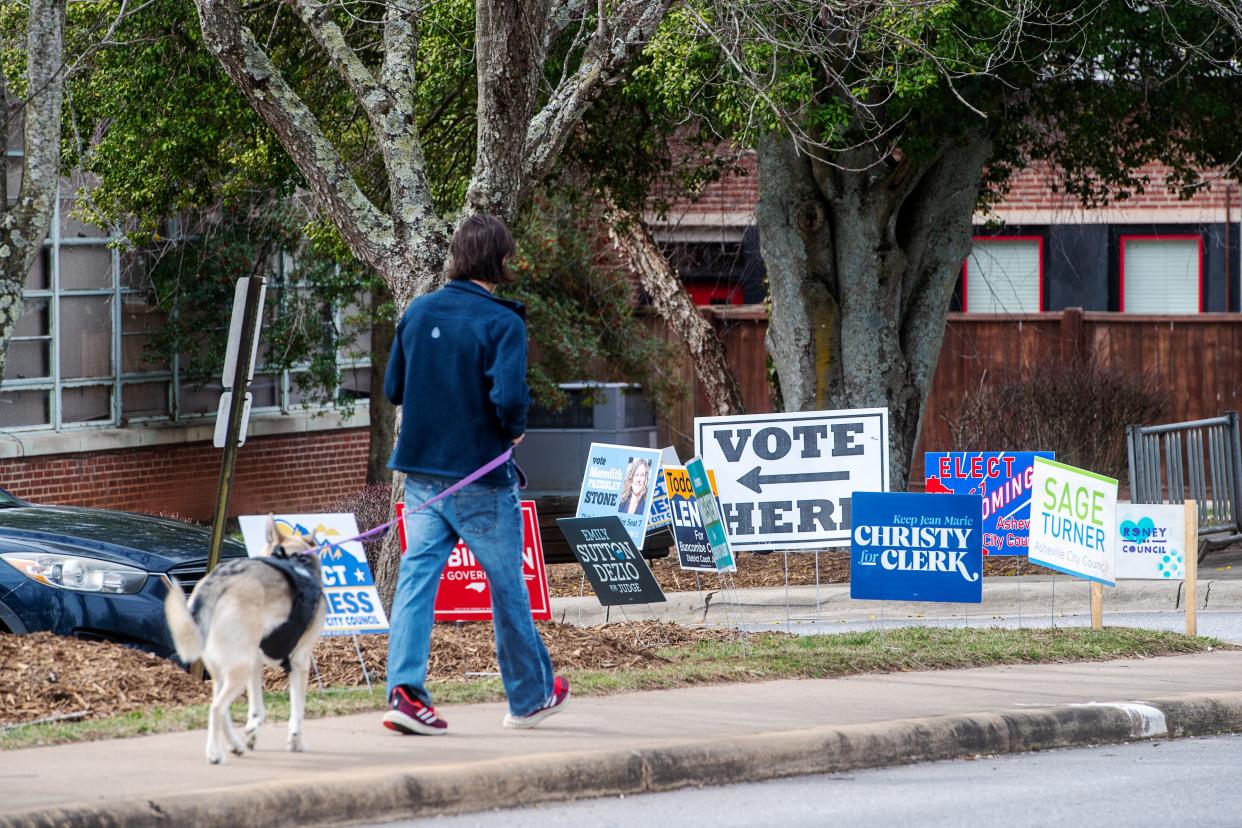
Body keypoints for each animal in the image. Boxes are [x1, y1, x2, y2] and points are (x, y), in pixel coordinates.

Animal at [167, 518, 327, 764]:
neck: (292, 557)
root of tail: (217, 582)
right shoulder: (300, 661)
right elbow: (297, 711)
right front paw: (296, 741)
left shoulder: (257, 663)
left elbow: (256, 708)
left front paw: (252, 732)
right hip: (239, 667)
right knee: (216, 708)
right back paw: (214, 754)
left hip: (226, 668)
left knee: (221, 709)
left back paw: (236, 744)